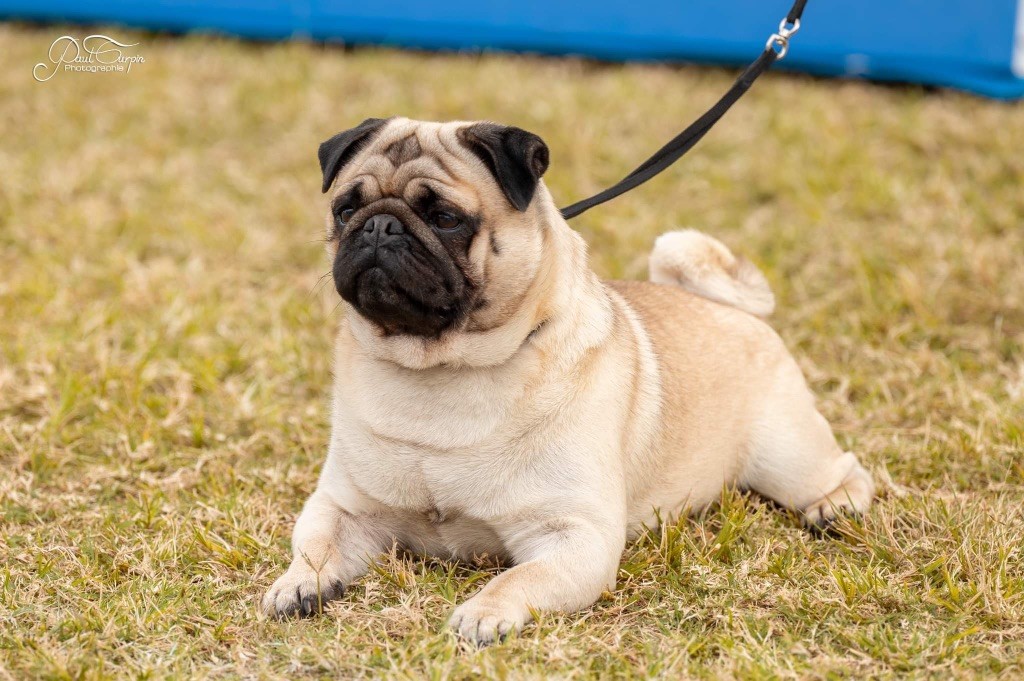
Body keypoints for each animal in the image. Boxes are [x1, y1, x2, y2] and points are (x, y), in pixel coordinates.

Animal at [258, 116, 872, 643]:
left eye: (446, 219)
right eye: (344, 210)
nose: (379, 226)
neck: (440, 372)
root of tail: (725, 306)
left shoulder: (574, 534)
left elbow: (516, 578)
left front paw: (482, 614)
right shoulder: (343, 507)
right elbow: (315, 546)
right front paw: (298, 583)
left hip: (785, 453)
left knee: (844, 470)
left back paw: (835, 507)